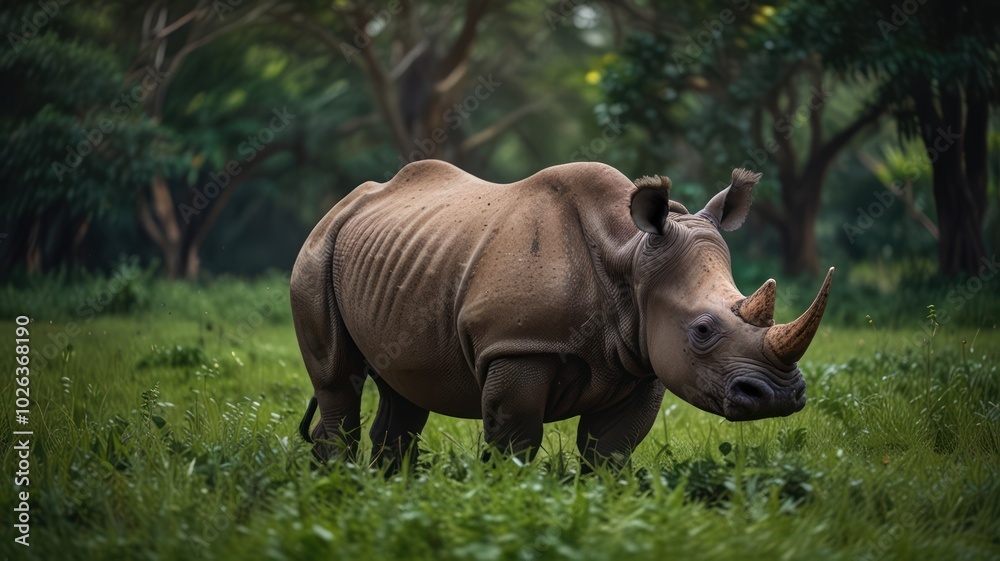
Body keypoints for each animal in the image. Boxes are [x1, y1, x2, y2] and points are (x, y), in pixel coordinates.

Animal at [293, 160, 833, 469]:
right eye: (702, 330)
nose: (778, 397)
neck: (627, 259)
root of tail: (344, 203)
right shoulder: (517, 345)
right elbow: (515, 442)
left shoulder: (643, 356)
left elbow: (609, 451)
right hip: (316, 250)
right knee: (338, 380)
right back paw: (336, 489)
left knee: (402, 391)